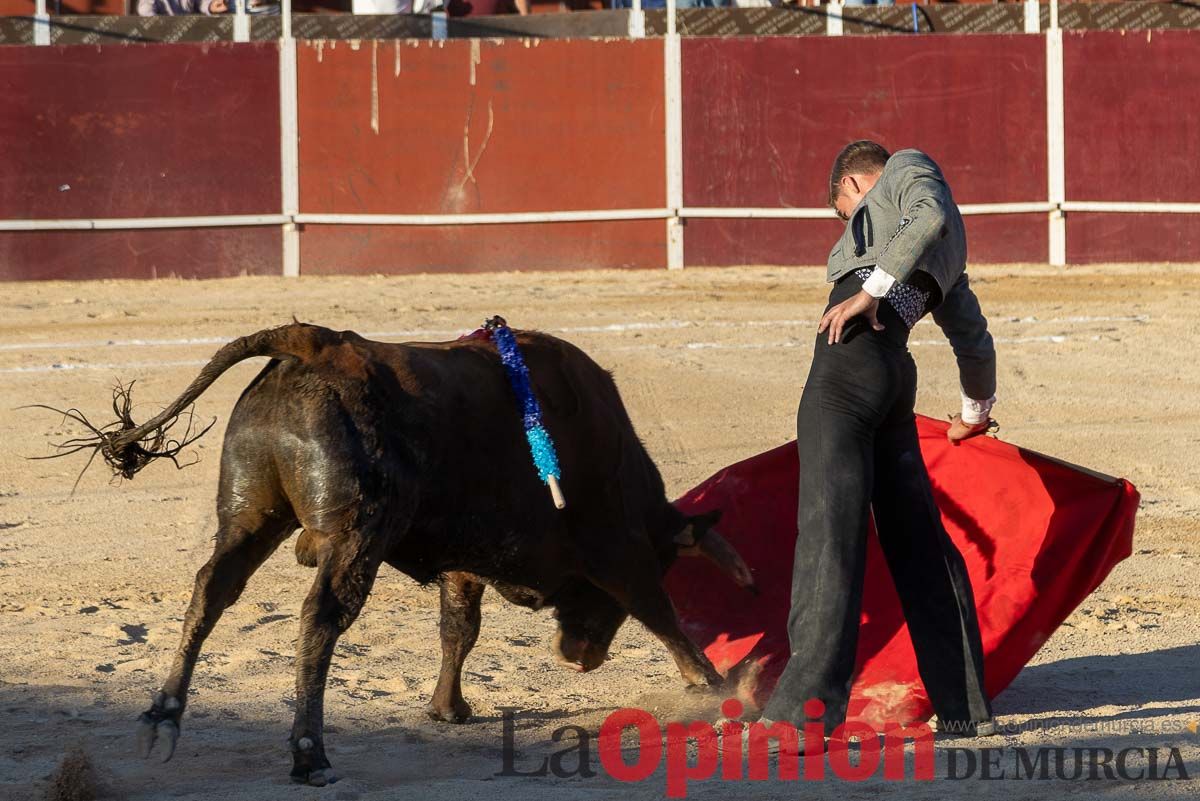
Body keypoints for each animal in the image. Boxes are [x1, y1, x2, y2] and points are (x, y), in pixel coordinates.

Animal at [54, 321, 758, 786]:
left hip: (250, 514)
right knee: (321, 615)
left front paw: (449, 708)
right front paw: (713, 683)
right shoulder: (617, 545)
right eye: (670, 561)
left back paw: (163, 718)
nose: (581, 658)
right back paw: (308, 754)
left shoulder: (468, 557)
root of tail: (315, 342)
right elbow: (658, 609)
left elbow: (459, 627)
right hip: (358, 532)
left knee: (210, 590)